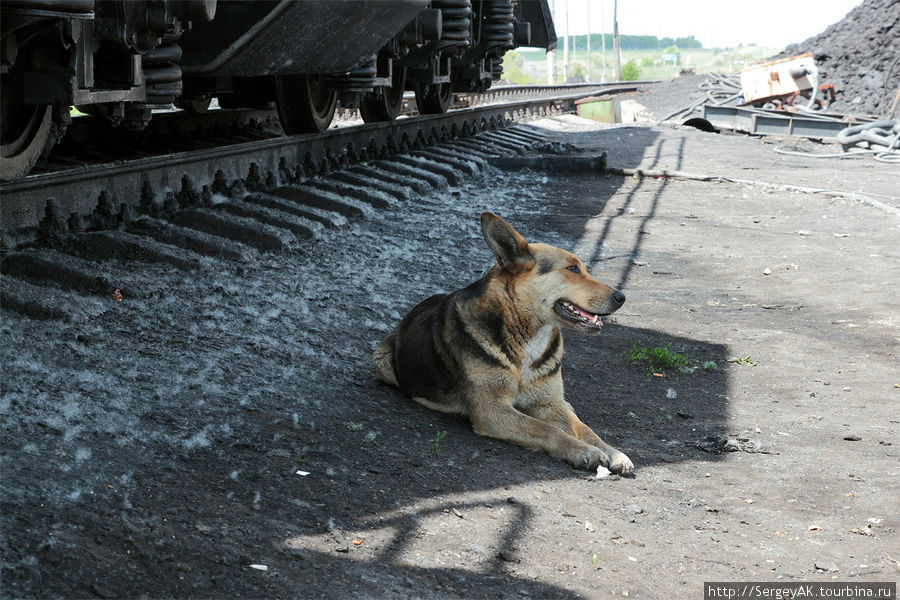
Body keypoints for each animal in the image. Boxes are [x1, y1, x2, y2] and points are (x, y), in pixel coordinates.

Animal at [372, 211, 632, 474]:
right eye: (572, 269)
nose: (621, 297)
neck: (526, 336)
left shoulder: (549, 404)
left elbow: (585, 429)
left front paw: (612, 451)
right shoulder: (491, 409)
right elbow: (547, 428)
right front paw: (584, 451)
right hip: (382, 360)